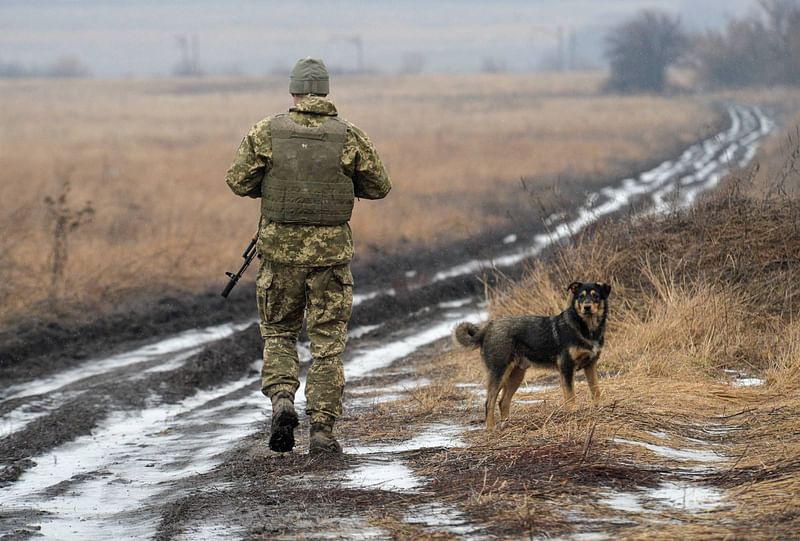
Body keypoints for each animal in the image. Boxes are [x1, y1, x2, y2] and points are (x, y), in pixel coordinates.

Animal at [456, 280, 612, 428]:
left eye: (596, 296)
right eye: (581, 296)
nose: (587, 307)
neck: (586, 328)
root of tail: (488, 328)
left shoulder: (590, 365)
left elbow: (596, 390)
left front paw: (598, 409)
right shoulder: (566, 369)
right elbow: (571, 397)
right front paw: (574, 415)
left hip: (516, 375)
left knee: (503, 401)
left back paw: (506, 426)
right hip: (499, 373)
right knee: (489, 402)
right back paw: (491, 430)